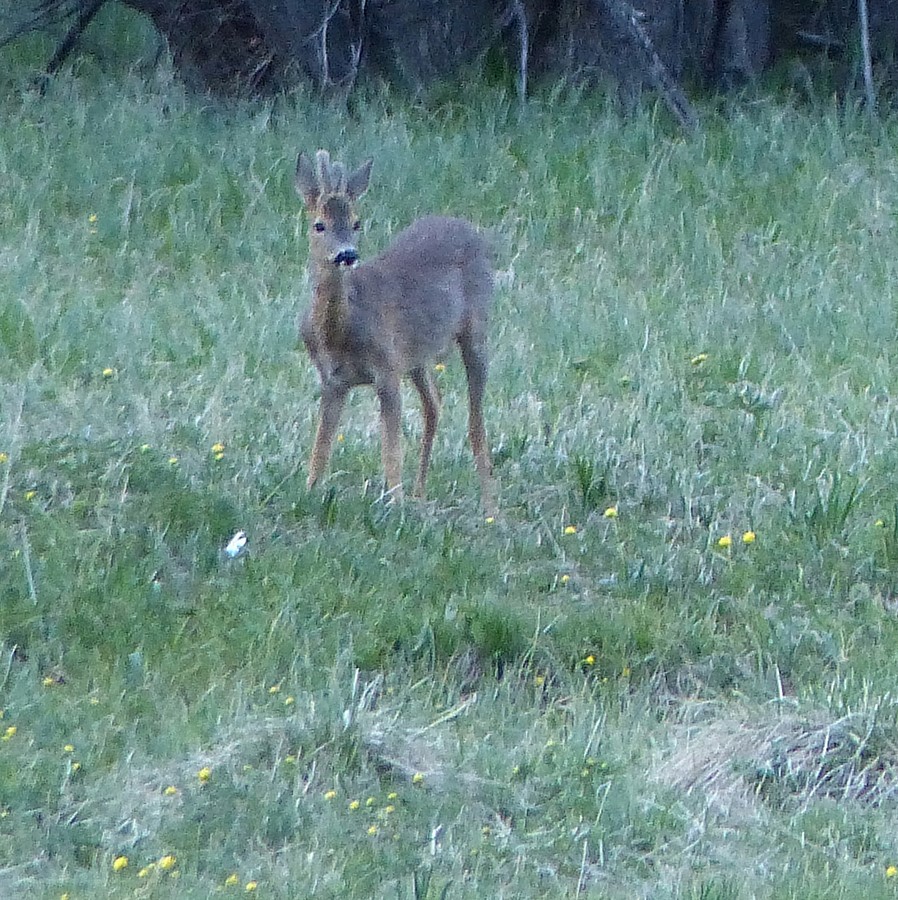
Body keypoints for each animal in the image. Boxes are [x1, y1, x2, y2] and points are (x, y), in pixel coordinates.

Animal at [292, 149, 494, 512]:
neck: (339, 332)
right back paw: (420, 493)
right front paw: (310, 492)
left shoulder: (386, 370)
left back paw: (490, 509)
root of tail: (469, 227)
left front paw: (393, 503)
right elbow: (320, 447)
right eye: (319, 225)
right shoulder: (332, 379)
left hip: (476, 326)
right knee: (434, 405)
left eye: (356, 223)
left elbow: (391, 449)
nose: (347, 254)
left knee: (476, 423)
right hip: (416, 356)